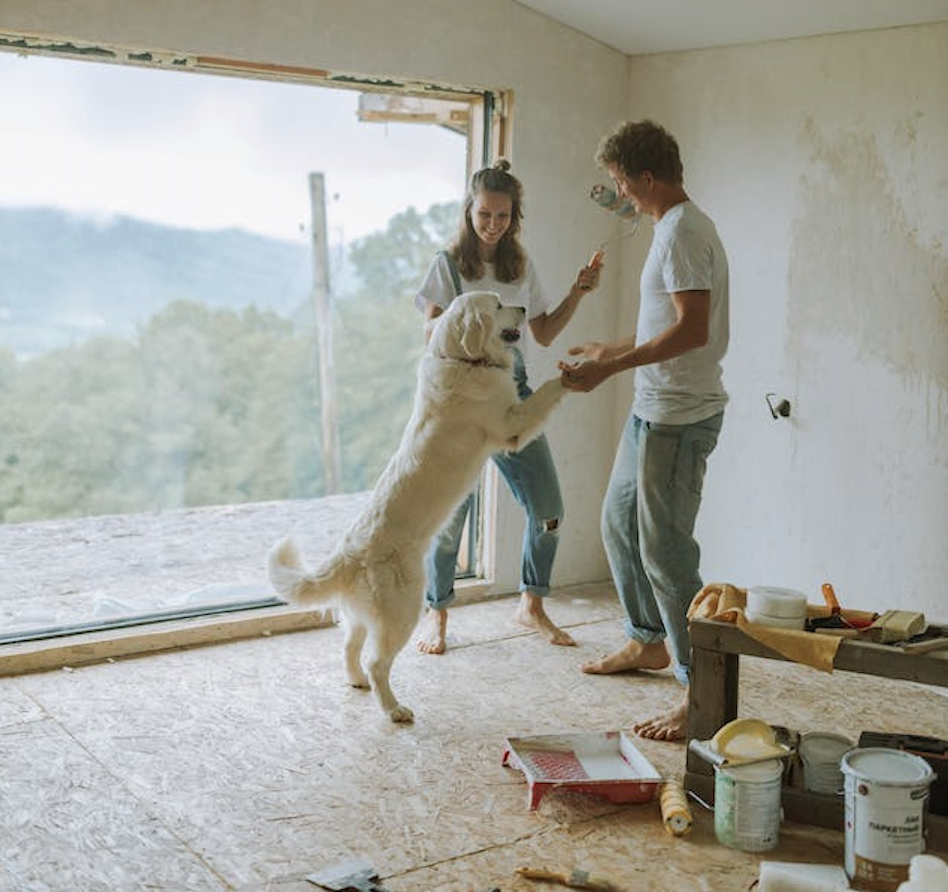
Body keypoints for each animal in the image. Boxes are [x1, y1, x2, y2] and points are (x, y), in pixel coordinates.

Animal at [262, 290, 568, 720]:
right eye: (496, 304)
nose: (523, 308)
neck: (461, 359)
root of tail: (349, 555)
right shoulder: (512, 424)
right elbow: (546, 395)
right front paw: (574, 373)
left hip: (361, 616)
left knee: (350, 647)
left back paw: (356, 681)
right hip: (403, 610)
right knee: (378, 662)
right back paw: (394, 710)